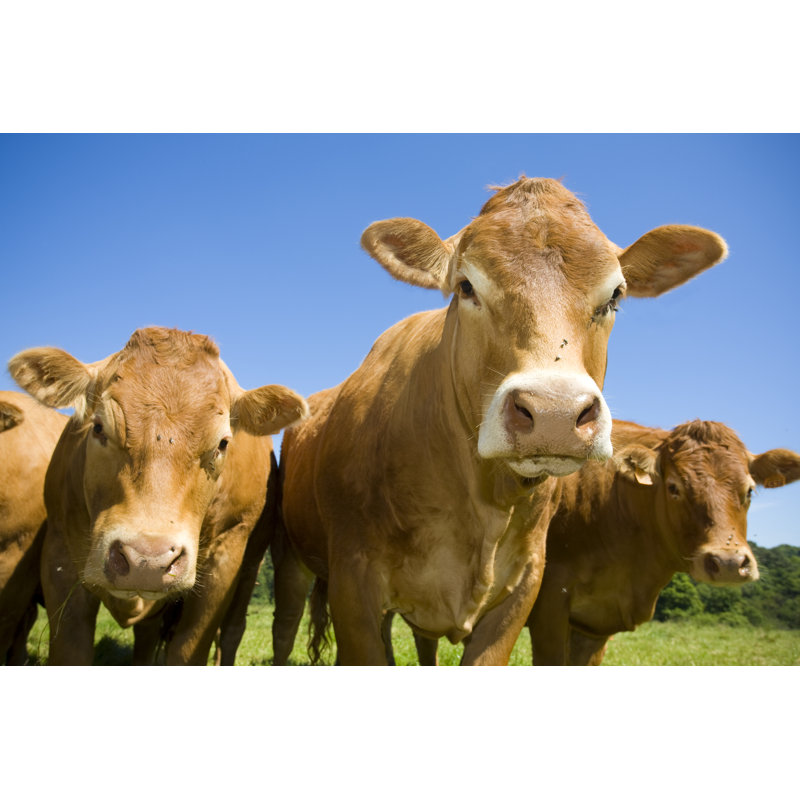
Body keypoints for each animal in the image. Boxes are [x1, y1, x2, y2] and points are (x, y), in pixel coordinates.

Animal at [8, 326, 308, 665]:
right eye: (98, 428)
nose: (147, 560)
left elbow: (188, 650)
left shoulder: (225, 557)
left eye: (222, 443)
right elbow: (71, 650)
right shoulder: (58, 552)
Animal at [276, 176, 727, 665]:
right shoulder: (354, 584)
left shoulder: (525, 586)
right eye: (466, 286)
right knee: (285, 625)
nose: (554, 413)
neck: (480, 502)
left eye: (615, 297)